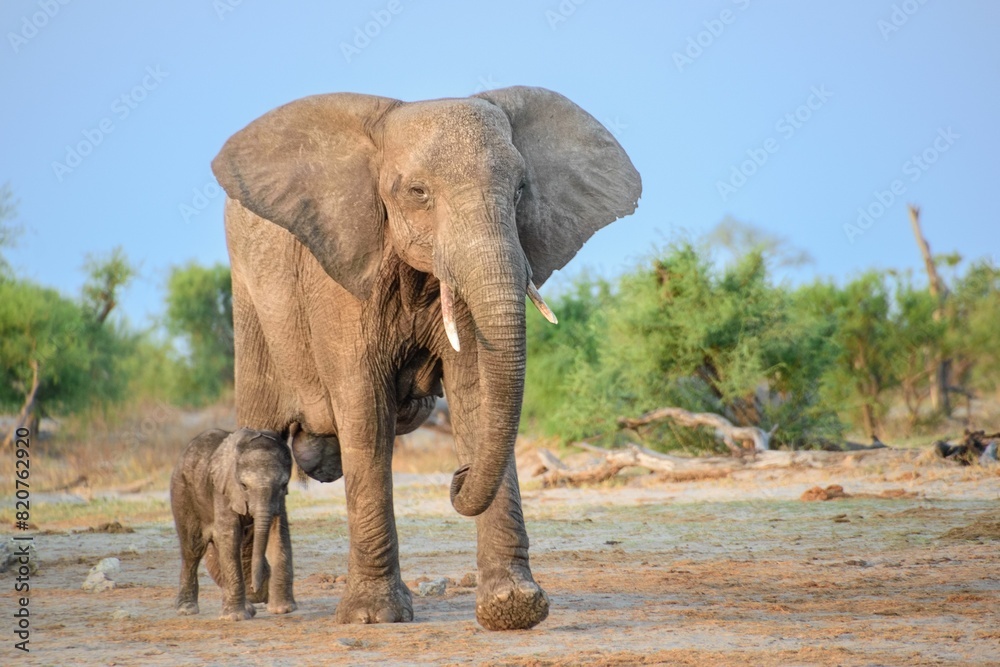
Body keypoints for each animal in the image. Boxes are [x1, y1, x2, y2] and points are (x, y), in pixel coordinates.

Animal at [170, 428, 296, 620]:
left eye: (284, 485)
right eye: (243, 485)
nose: (255, 588)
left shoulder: (279, 499)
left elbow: (279, 532)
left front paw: (283, 610)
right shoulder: (223, 489)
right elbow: (230, 535)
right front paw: (234, 618)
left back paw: (248, 609)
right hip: (182, 491)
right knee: (193, 548)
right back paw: (187, 609)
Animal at [210, 86, 641, 629]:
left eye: (521, 191)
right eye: (418, 193)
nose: (457, 478)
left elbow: (478, 396)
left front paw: (513, 609)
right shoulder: (339, 278)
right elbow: (365, 412)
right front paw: (374, 617)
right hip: (251, 305)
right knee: (262, 430)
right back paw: (244, 600)